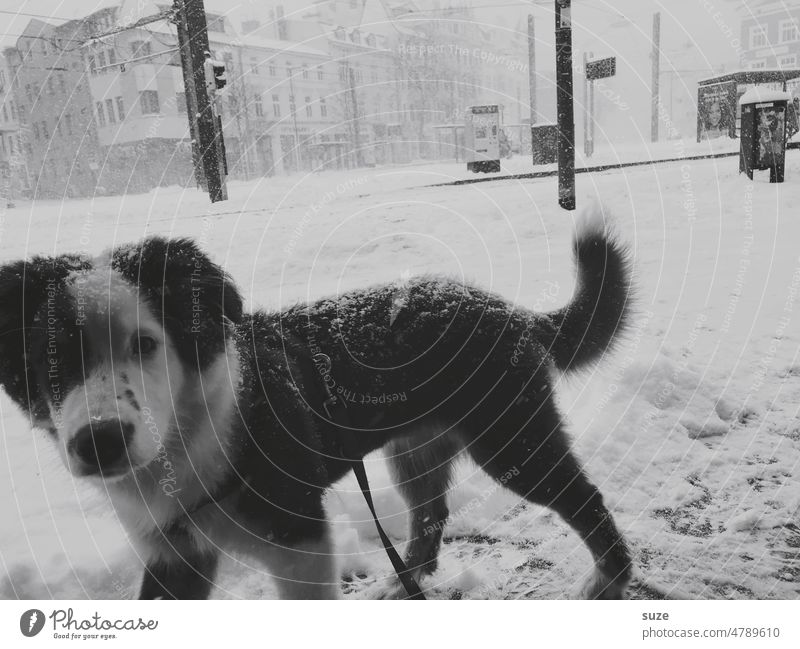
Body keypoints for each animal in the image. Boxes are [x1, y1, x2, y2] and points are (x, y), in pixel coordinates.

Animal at [0, 205, 636, 600]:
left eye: (146, 343)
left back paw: (608, 580)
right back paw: (402, 583)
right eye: (51, 363)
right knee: (429, 518)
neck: (192, 434)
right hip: (415, 448)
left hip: (511, 440)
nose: (99, 442)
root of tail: (509, 310)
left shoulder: (300, 539)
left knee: (585, 499)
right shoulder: (173, 557)